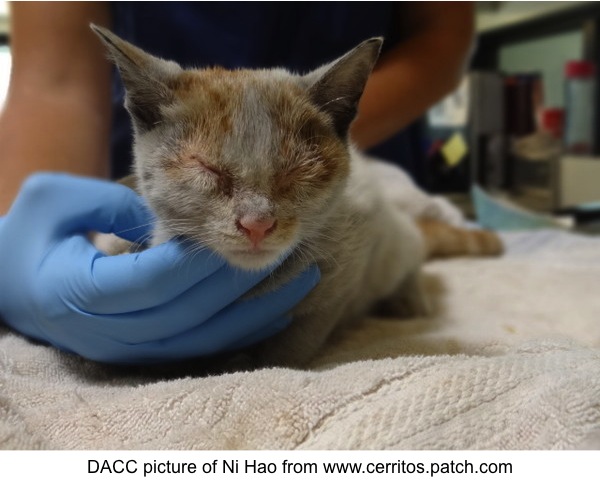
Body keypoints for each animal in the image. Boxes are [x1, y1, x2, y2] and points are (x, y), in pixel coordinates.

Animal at [90, 25, 502, 364]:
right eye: (207, 169)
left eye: (296, 171)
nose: (257, 223)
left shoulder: (353, 252)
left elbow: (299, 336)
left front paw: (258, 362)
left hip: (394, 242)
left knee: (411, 254)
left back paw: (408, 297)